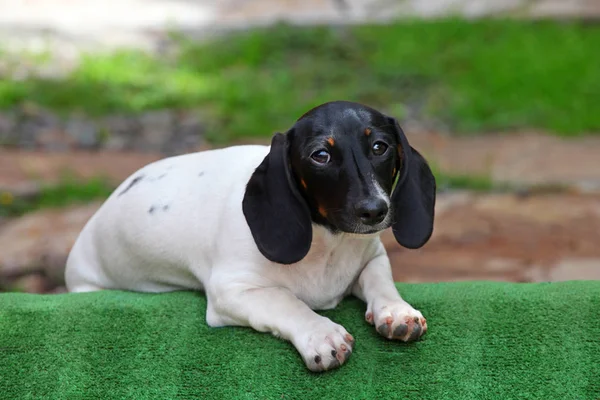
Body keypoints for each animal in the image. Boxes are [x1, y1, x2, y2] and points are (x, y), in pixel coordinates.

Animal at [67, 101, 436, 372]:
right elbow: (285, 300)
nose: (375, 210)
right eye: (321, 155)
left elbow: (379, 280)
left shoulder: (372, 257)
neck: (327, 242)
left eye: (379, 147)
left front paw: (396, 311)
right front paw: (320, 333)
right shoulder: (231, 291)